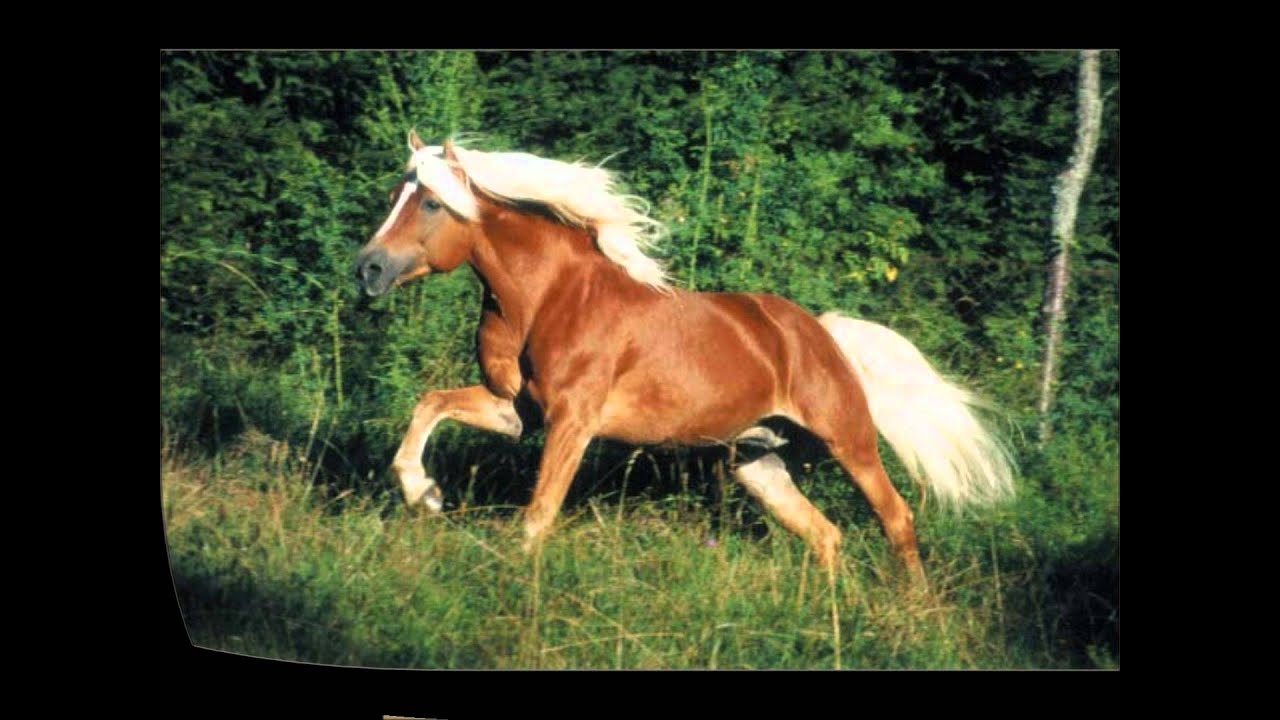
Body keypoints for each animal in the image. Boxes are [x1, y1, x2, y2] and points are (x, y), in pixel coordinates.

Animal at [354, 131, 1014, 585]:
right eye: (394, 194)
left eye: (430, 203)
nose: (368, 270)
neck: (549, 298)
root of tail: (822, 334)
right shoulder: (515, 412)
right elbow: (430, 406)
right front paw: (424, 493)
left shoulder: (573, 422)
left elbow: (539, 513)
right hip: (758, 461)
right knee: (825, 535)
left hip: (849, 440)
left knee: (897, 519)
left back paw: (915, 611)